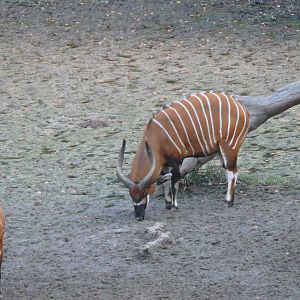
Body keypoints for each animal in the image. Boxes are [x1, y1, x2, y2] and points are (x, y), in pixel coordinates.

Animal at [117, 91, 251, 220]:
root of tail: (242, 109)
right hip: (219, 150)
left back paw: (229, 201)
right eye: (131, 195)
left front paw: (175, 206)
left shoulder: (177, 160)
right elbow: (165, 182)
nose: (139, 217)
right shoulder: (164, 163)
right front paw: (168, 204)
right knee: (229, 171)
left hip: (229, 147)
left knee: (232, 171)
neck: (155, 135)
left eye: (145, 193)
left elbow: (174, 182)